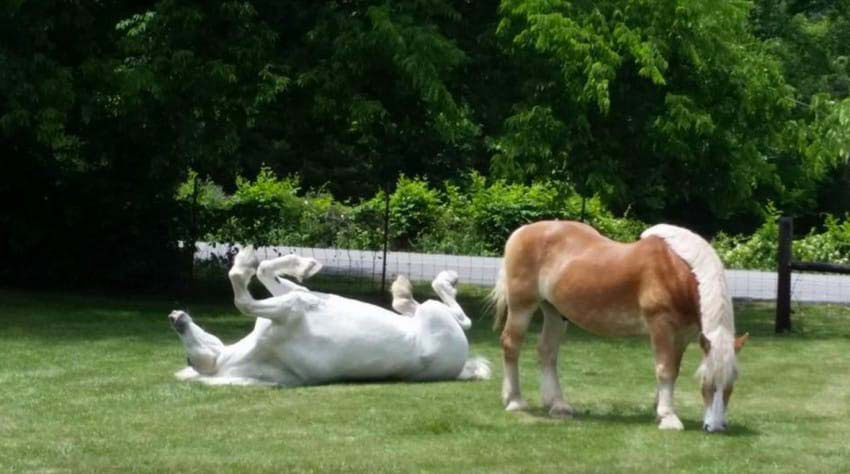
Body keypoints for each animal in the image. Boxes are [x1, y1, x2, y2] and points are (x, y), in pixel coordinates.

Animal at [168, 246, 486, 386]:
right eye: (190, 358)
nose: (175, 318)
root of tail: (463, 366)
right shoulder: (292, 307)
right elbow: (242, 299)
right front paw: (245, 262)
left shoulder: (296, 294)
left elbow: (265, 271)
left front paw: (304, 264)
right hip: (437, 317)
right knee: (457, 315)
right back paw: (433, 283)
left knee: (418, 308)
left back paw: (404, 292)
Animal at [490, 220, 748, 432]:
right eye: (706, 383)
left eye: (731, 384)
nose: (715, 427)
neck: (677, 270)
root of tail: (521, 232)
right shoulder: (661, 326)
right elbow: (665, 369)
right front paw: (668, 417)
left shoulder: (683, 335)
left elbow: (673, 369)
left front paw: (660, 410)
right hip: (522, 307)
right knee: (511, 345)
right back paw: (514, 401)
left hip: (555, 313)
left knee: (546, 352)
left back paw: (558, 405)